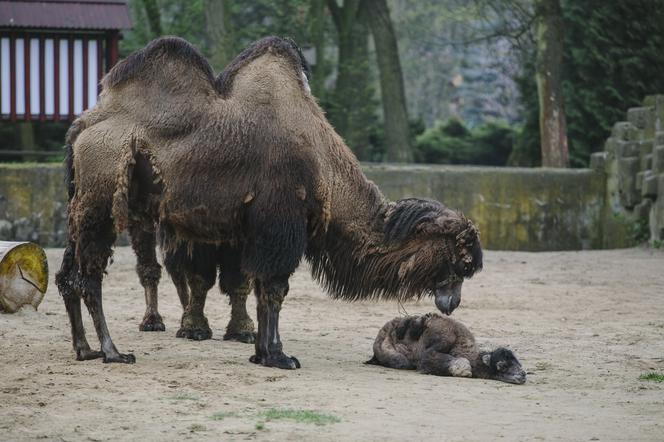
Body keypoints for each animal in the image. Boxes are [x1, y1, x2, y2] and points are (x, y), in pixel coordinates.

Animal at [55, 36, 482, 370]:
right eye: (462, 262)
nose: (452, 303)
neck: (323, 165)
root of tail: (82, 127)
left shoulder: (259, 229)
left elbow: (258, 288)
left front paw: (260, 352)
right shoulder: (281, 222)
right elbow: (274, 289)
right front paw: (279, 356)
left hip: (80, 202)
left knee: (66, 275)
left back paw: (84, 349)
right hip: (101, 192)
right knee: (90, 276)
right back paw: (113, 351)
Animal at [368, 314, 524, 384]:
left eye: (517, 361)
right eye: (502, 365)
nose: (523, 374)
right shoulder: (442, 341)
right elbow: (427, 358)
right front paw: (463, 370)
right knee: (402, 361)